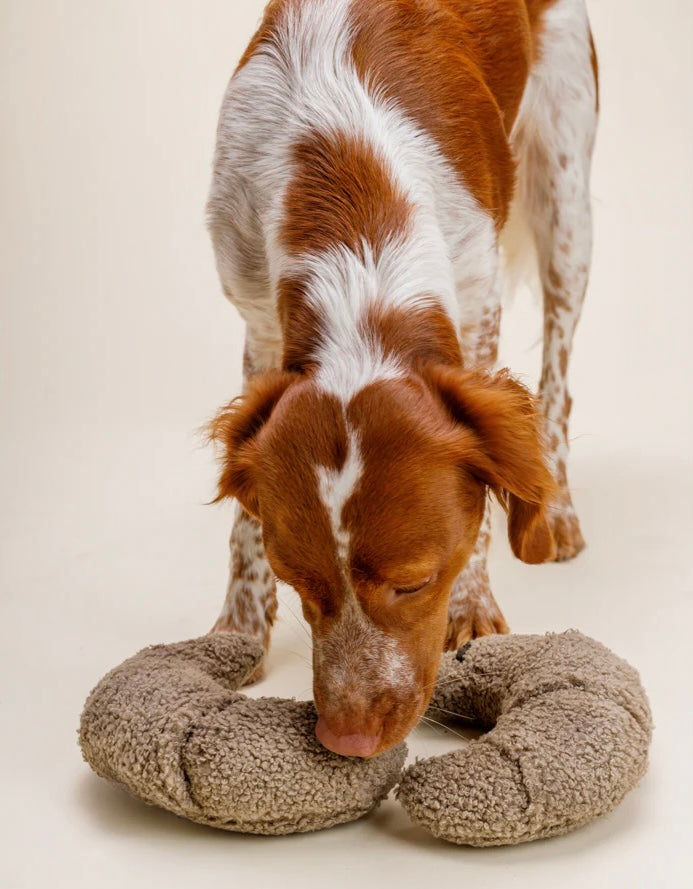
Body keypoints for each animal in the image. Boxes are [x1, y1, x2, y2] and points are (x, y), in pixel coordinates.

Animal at [204, 0, 596, 756]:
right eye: (301, 582)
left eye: (415, 584)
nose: (348, 739)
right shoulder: (257, 318)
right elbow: (244, 522)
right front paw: (238, 629)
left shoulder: (478, 304)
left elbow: (486, 510)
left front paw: (473, 608)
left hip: (565, 198)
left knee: (560, 371)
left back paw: (559, 506)